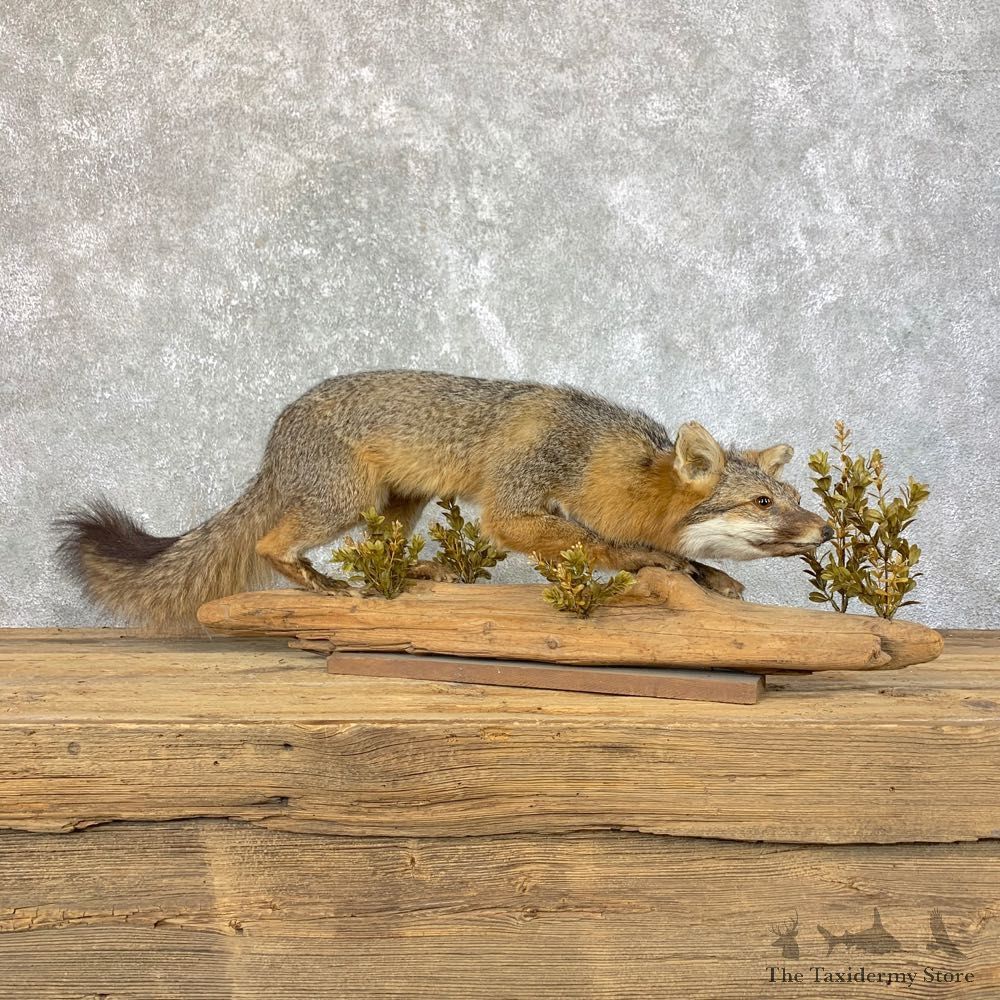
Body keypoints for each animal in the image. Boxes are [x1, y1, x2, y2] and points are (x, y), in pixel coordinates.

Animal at [56, 369, 833, 630]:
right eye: (763, 504)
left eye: (791, 498)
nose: (825, 530)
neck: (598, 455)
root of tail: (279, 429)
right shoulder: (514, 510)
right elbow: (605, 545)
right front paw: (664, 567)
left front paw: (707, 574)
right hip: (346, 501)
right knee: (270, 543)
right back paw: (325, 587)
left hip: (400, 507)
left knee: (389, 556)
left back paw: (418, 576)